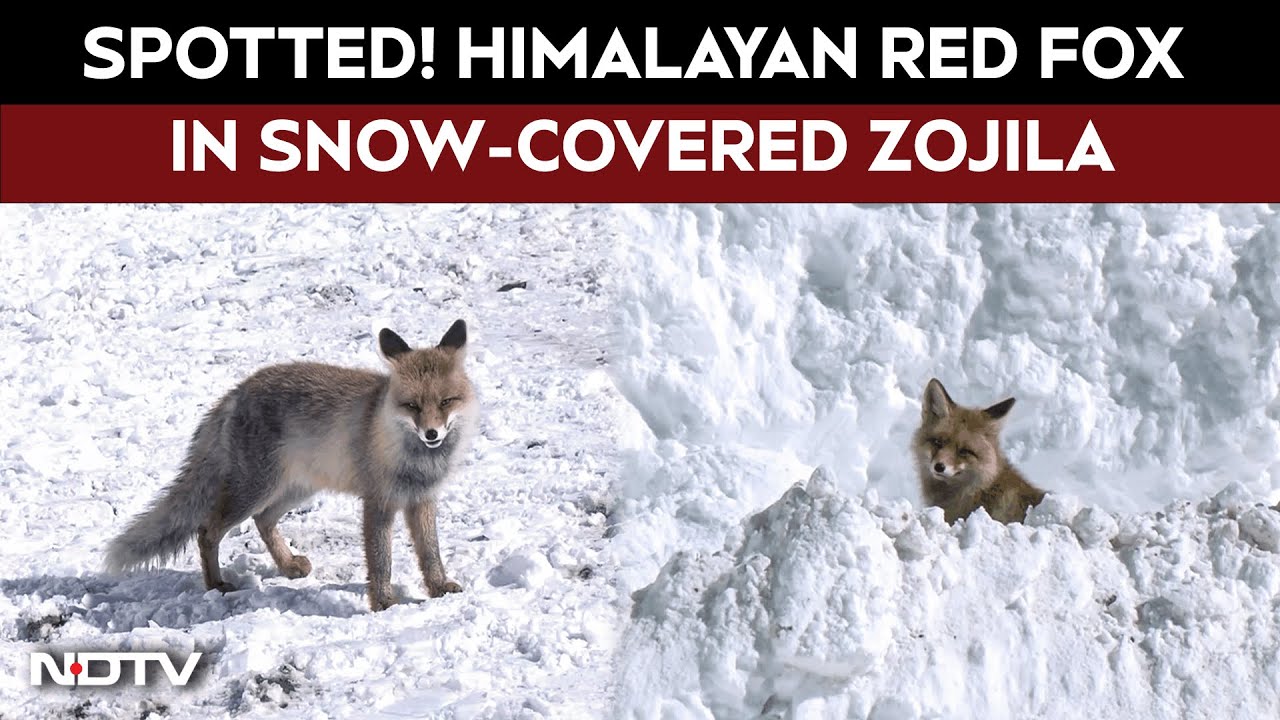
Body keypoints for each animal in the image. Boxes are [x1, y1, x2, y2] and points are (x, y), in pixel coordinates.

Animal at [104, 319, 479, 611]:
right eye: (412, 405)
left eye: (446, 402)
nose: (432, 434)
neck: (416, 460)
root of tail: (237, 390)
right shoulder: (378, 502)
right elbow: (380, 559)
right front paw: (384, 602)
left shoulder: (423, 500)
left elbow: (430, 553)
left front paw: (439, 588)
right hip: (255, 490)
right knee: (207, 530)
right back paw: (216, 584)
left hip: (295, 489)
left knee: (263, 520)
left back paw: (287, 565)